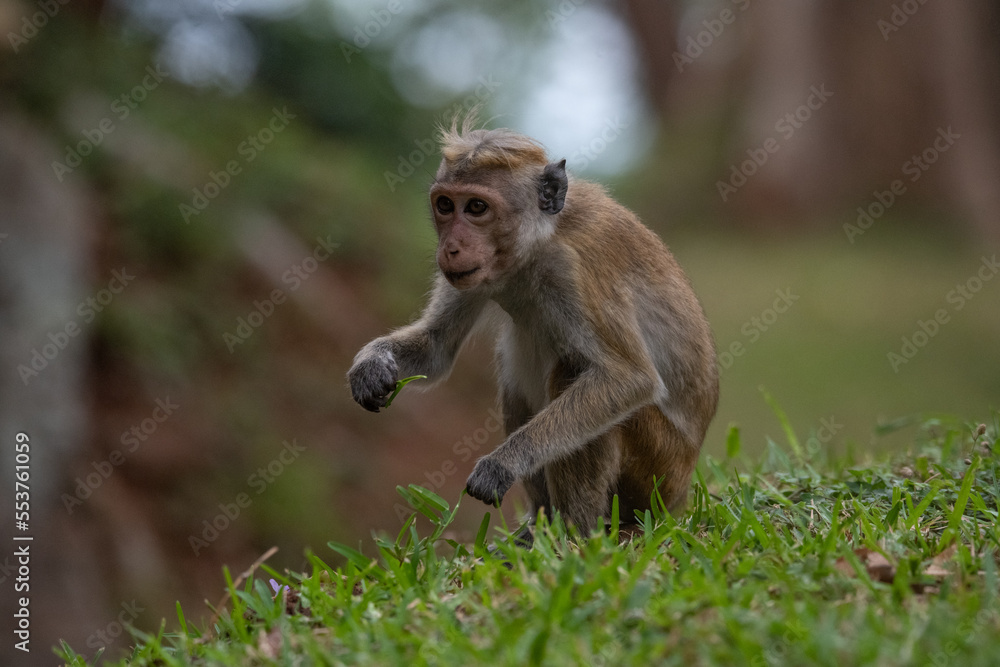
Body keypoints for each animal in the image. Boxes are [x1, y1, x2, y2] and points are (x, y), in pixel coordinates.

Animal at [348, 118, 719, 534]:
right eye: (445, 205)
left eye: (476, 207)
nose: (451, 247)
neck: (540, 240)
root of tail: (681, 493)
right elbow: (436, 346)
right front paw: (371, 365)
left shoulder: (571, 273)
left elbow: (628, 377)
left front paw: (502, 464)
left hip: (657, 475)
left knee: (572, 369)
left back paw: (575, 534)